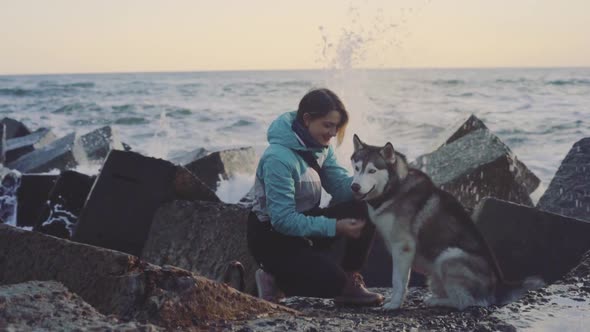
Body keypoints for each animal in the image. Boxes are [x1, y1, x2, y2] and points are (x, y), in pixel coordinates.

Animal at [352, 134, 544, 310]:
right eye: (356, 168)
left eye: (372, 171)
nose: (354, 186)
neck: (395, 187)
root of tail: (499, 287)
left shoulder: (403, 247)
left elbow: (398, 281)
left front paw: (394, 304)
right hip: (435, 274)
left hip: (449, 257)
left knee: (467, 302)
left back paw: (439, 301)